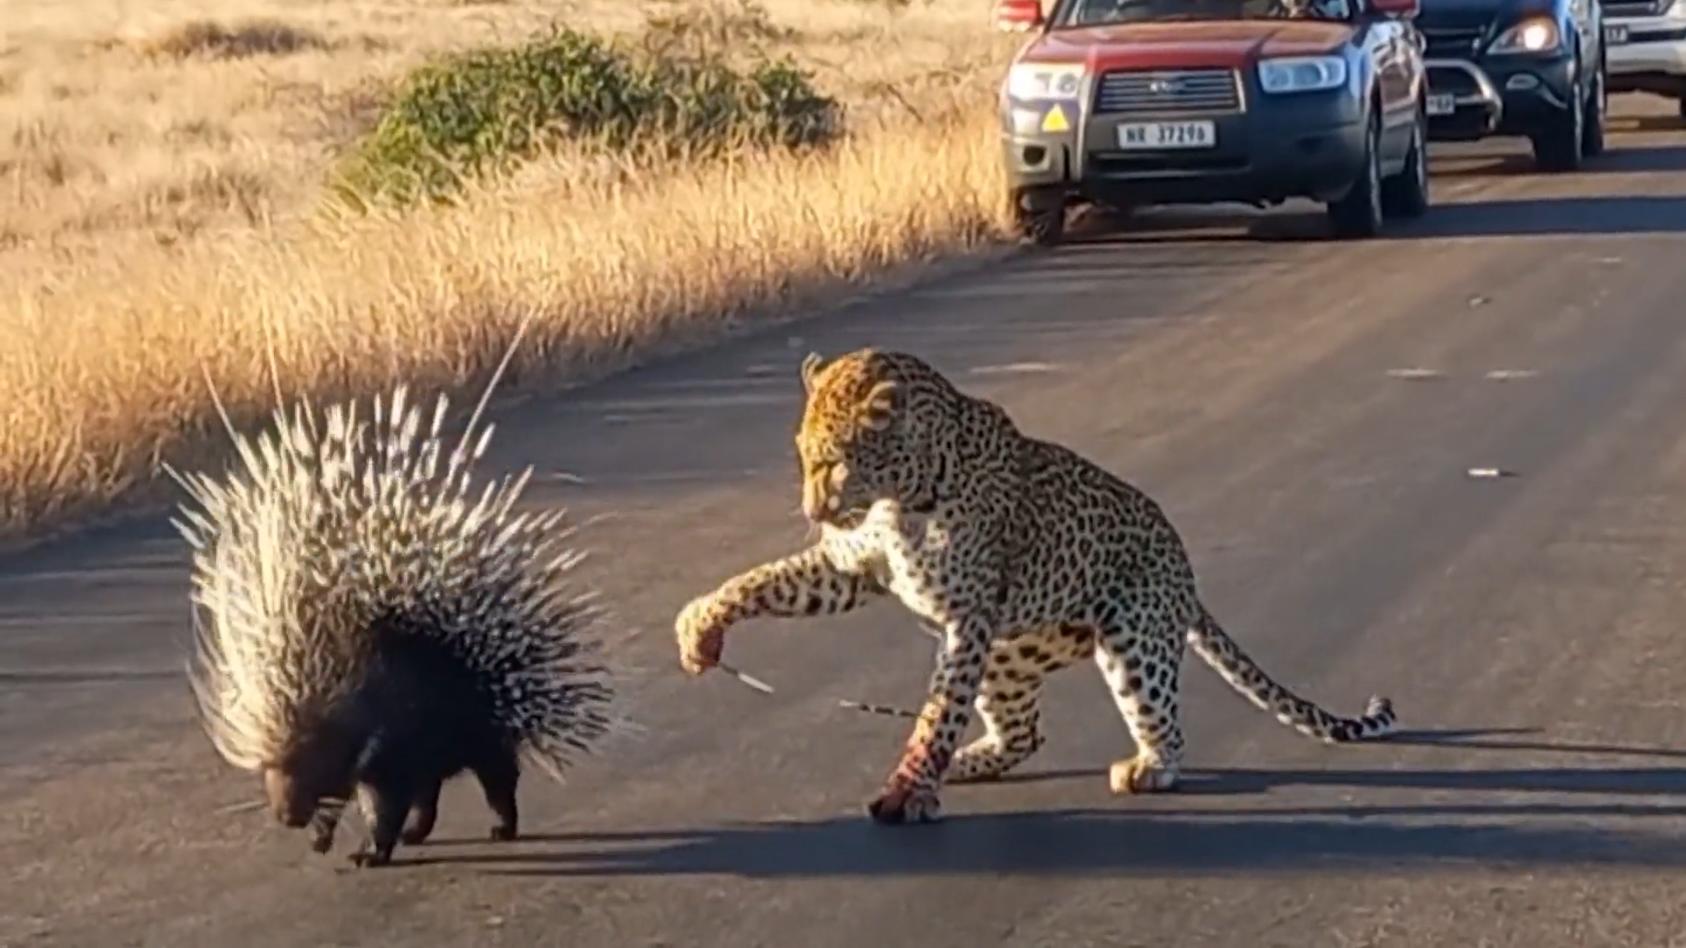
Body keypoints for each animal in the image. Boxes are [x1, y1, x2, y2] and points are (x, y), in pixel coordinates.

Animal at [671, 345, 1396, 819]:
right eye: (802, 459)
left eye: (833, 463)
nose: (812, 510)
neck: (901, 493)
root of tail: (1185, 565)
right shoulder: (853, 569)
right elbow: (765, 580)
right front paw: (700, 626)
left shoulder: (964, 617)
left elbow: (939, 711)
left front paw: (912, 787)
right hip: (1009, 652)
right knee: (1023, 734)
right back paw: (969, 762)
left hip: (1129, 637)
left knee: (1160, 720)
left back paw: (1148, 768)